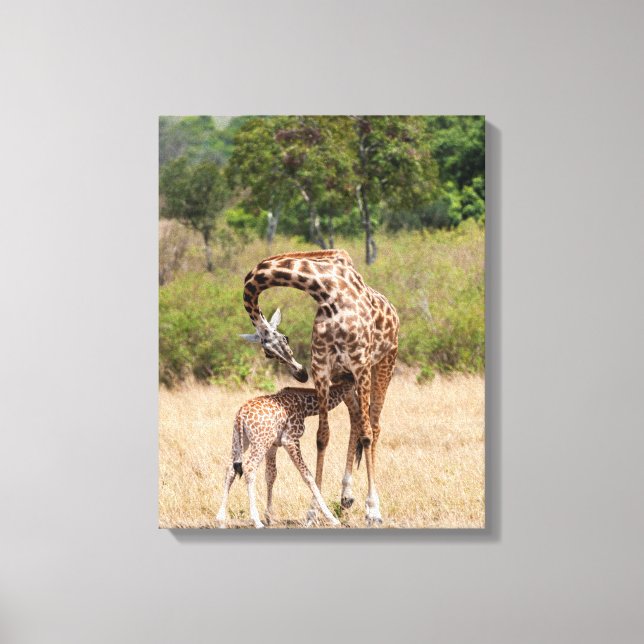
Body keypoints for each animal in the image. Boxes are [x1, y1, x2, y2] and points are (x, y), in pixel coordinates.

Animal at [215, 376, 354, 529]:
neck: (305, 407)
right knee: (249, 468)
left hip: (239, 440)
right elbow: (307, 475)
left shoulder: (273, 445)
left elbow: (271, 475)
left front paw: (269, 517)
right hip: (259, 442)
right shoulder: (290, 439)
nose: (355, 407)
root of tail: (241, 415)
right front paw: (332, 518)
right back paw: (256, 521)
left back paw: (221, 519)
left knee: (230, 468)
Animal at [240, 249, 399, 526]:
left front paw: (373, 511)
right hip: (344, 378)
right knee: (356, 420)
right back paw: (346, 496)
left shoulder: (360, 364)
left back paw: (368, 505)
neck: (327, 291)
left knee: (373, 426)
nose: (300, 373)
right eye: (268, 354)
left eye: (285, 338)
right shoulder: (324, 369)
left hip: (383, 365)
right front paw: (313, 511)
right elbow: (322, 437)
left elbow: (367, 435)